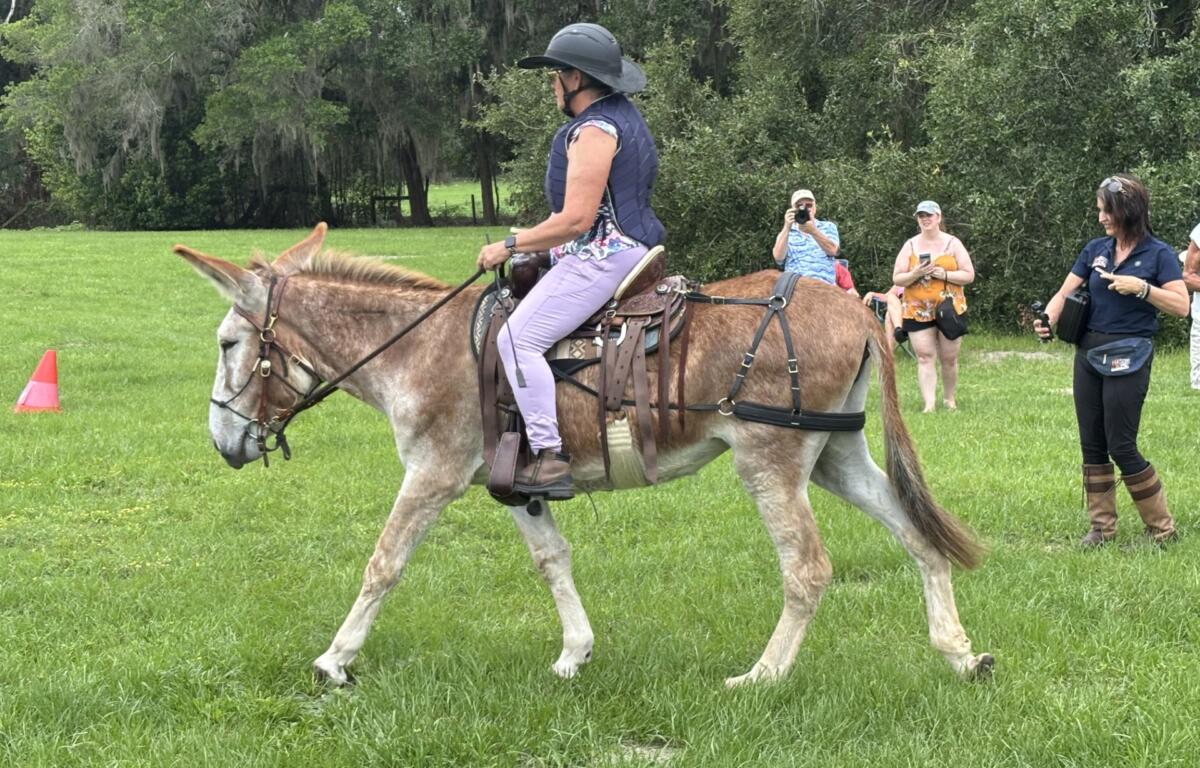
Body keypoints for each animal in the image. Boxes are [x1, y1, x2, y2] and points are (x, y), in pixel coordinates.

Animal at [175, 223, 993, 688]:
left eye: (227, 343)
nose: (222, 441)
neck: (420, 346)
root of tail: (857, 309)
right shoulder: (516, 481)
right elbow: (552, 561)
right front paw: (576, 652)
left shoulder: (433, 474)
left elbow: (384, 563)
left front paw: (336, 660)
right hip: (836, 458)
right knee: (918, 538)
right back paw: (958, 652)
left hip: (771, 463)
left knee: (809, 570)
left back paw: (764, 675)